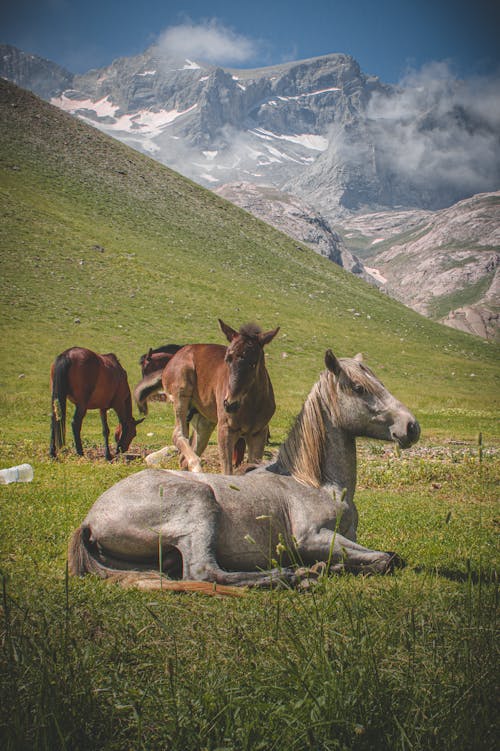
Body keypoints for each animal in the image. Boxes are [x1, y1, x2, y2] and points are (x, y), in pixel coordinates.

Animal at [67, 352, 418, 592]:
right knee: (203, 572)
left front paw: (326, 567)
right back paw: (289, 576)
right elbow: (389, 559)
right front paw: (315, 567)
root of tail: (90, 521)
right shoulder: (312, 538)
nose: (411, 427)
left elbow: (380, 556)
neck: (313, 483)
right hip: (199, 508)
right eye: (358, 388)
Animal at [145, 320, 280, 472]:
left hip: (204, 421)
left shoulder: (258, 433)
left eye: (254, 363)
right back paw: (197, 466)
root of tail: (173, 359)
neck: (251, 405)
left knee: (185, 456)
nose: (230, 404)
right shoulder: (225, 429)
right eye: (227, 359)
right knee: (178, 434)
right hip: (180, 392)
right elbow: (227, 471)